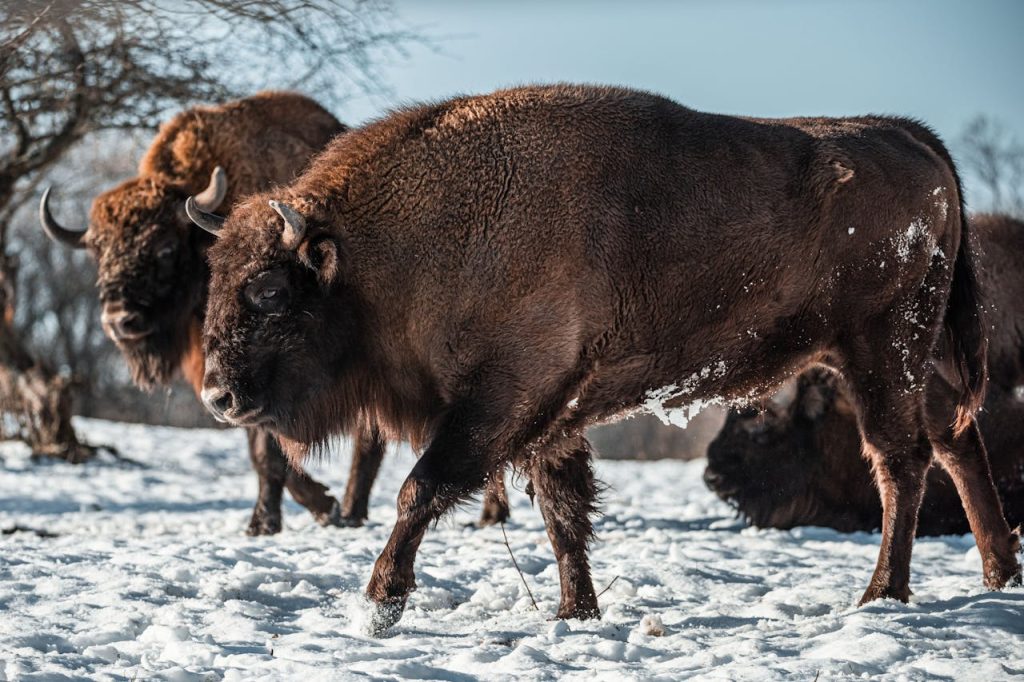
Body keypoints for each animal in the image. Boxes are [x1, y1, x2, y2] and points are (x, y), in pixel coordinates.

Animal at [40, 92, 510, 533]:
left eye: (165, 247)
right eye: (98, 252)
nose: (120, 321)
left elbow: (271, 445)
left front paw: (302, 512)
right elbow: (260, 444)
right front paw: (272, 519)